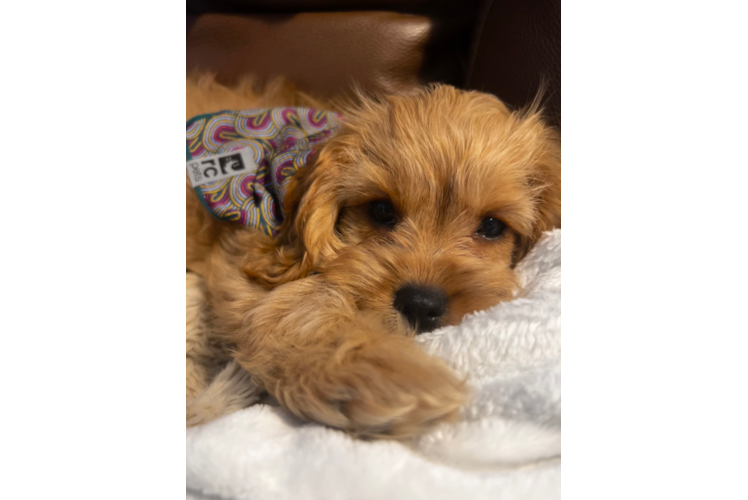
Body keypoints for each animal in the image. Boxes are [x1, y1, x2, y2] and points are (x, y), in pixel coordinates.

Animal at [181, 73, 556, 438]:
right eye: (381, 210)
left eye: (492, 226)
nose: (421, 305)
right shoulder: (251, 259)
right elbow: (297, 311)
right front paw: (385, 373)